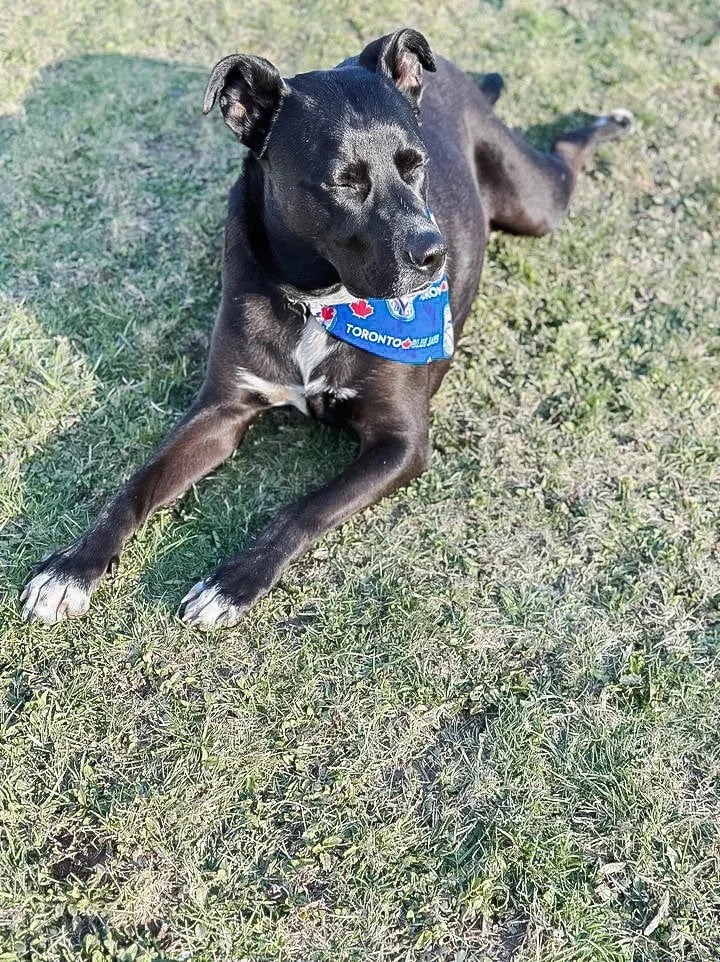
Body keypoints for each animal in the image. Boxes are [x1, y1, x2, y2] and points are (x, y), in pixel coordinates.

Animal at [19, 28, 632, 632]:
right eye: (343, 182)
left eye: (416, 164)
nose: (433, 254)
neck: (322, 302)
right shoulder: (221, 409)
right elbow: (137, 483)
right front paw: (71, 569)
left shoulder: (401, 443)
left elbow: (304, 509)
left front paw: (232, 582)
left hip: (535, 204)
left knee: (566, 155)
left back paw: (611, 121)